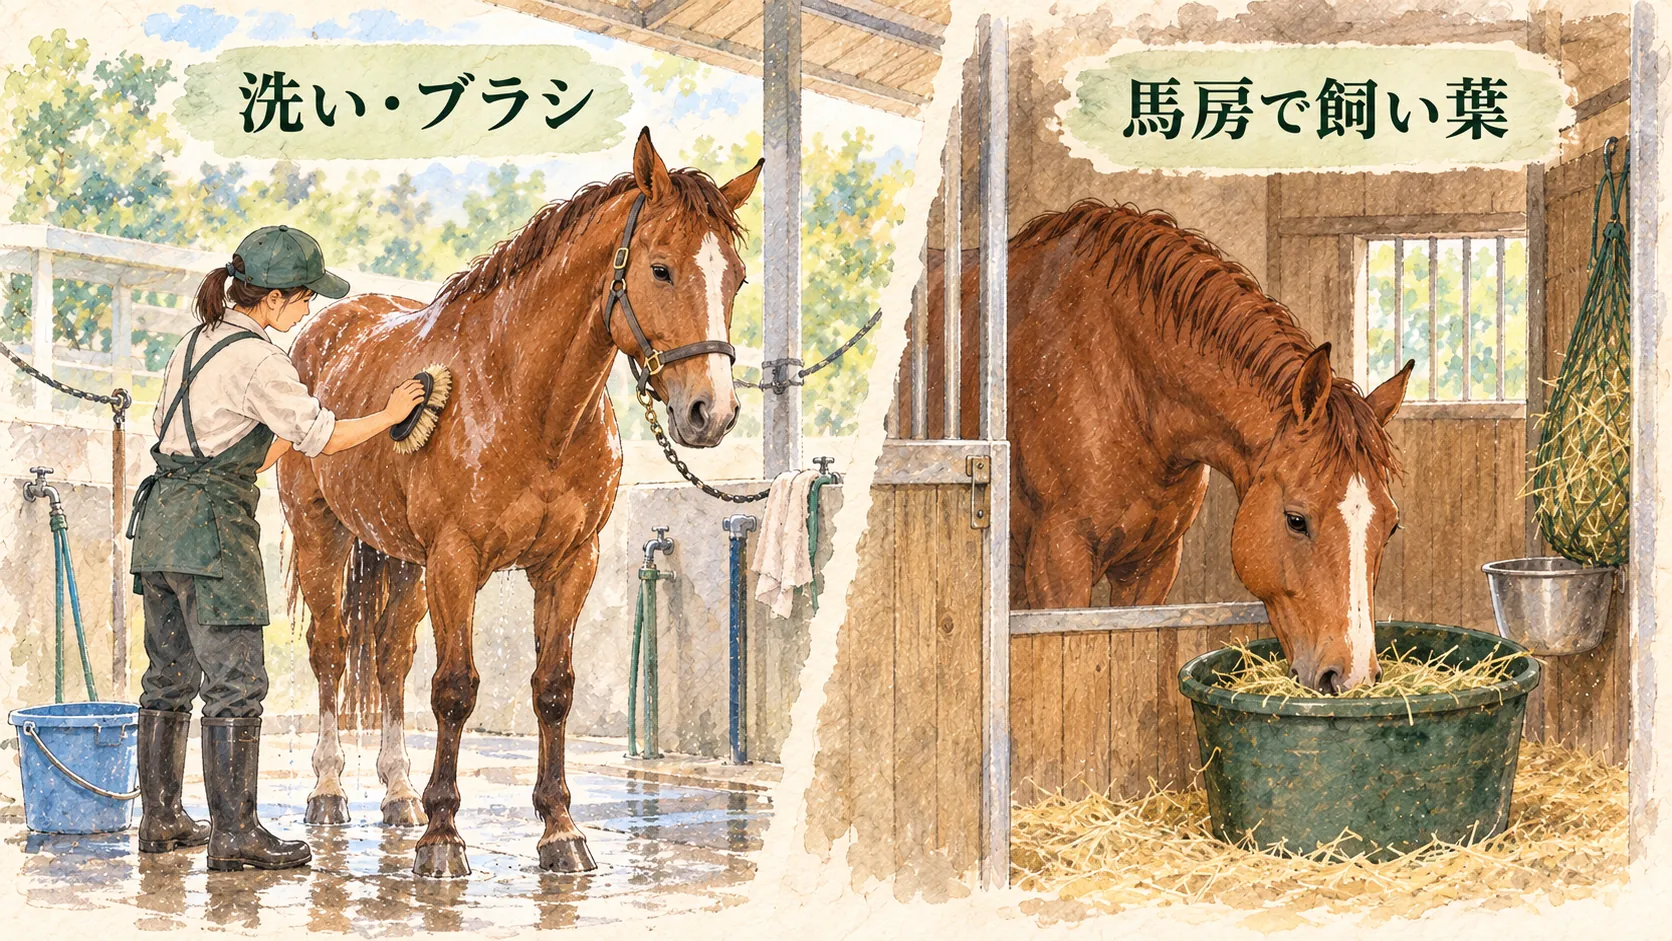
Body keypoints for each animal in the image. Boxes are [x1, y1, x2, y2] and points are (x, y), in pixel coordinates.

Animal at [275, 129, 762, 877]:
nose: (711, 412)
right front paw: (443, 837)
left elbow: (553, 687)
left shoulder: (569, 562)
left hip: (402, 560)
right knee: (330, 653)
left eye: (734, 277)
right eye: (660, 269)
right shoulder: (455, 561)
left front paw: (560, 829)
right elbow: (454, 689)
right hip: (320, 534)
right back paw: (329, 792)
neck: (526, 401)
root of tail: (323, 333)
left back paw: (397, 794)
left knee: (388, 658)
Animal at [922, 200, 1413, 693]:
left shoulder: (1152, 567)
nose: (1352, 677)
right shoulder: (1057, 565)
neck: (1124, 380)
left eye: (1391, 526)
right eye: (1296, 520)